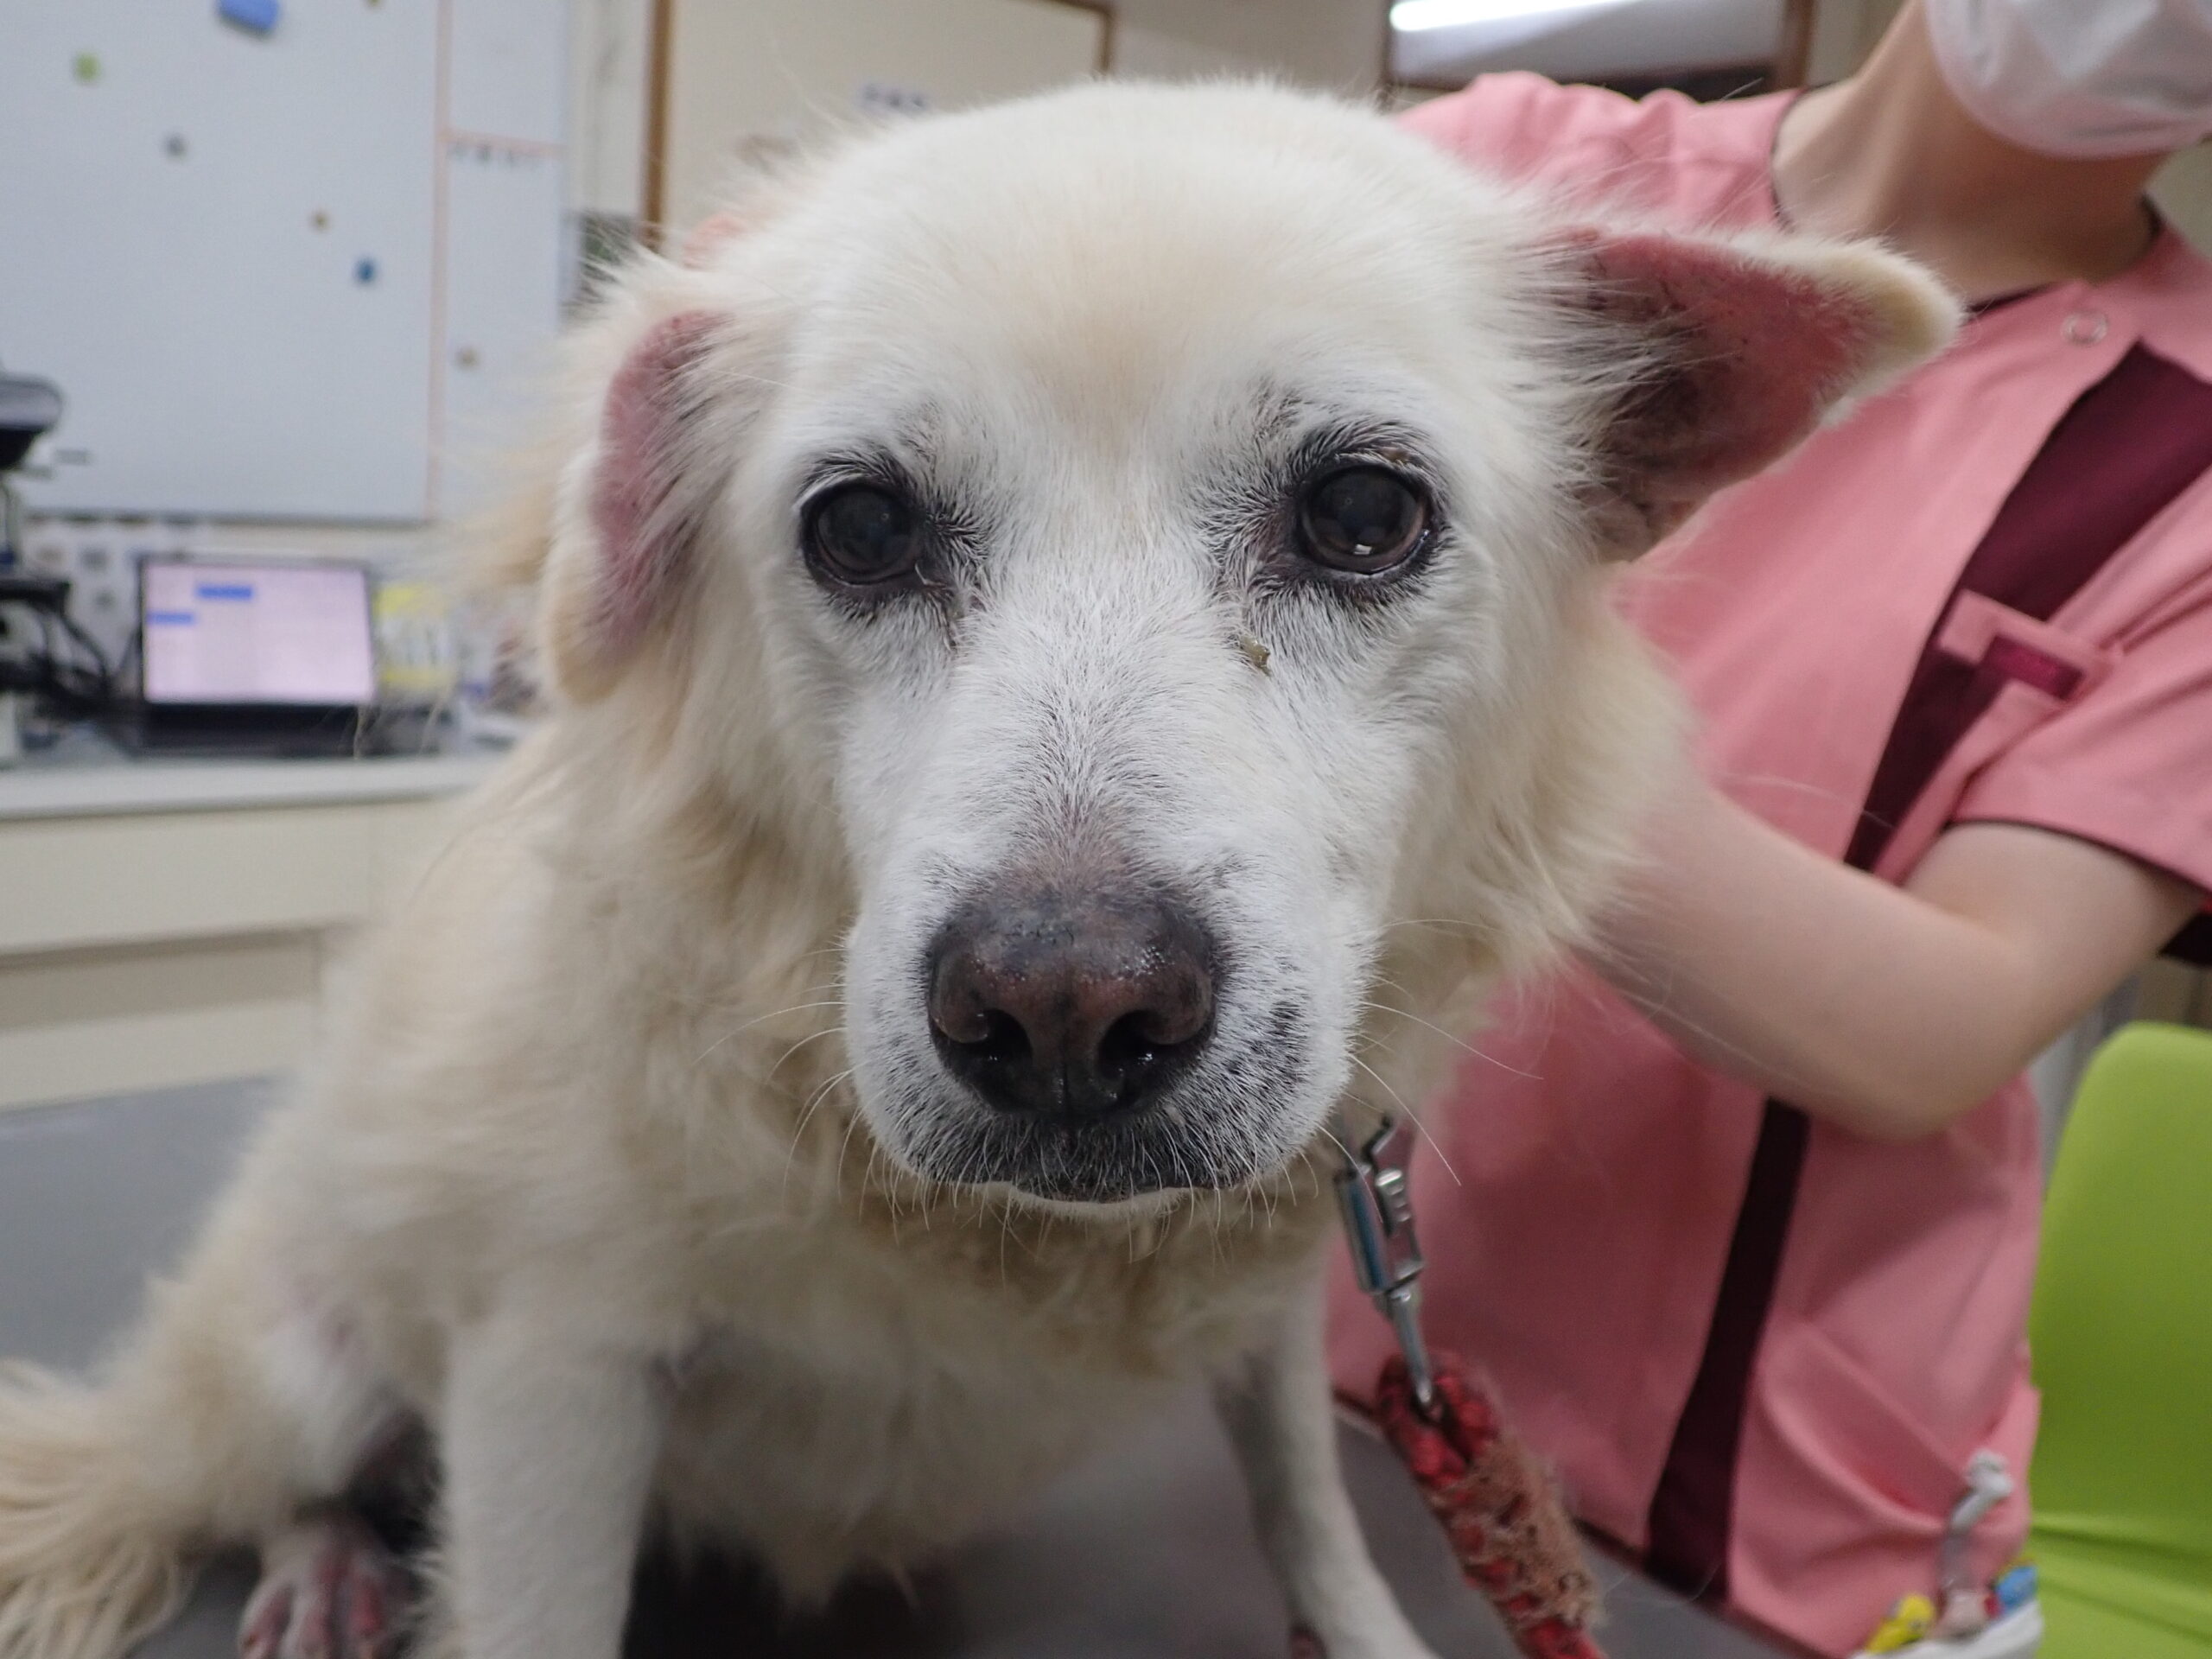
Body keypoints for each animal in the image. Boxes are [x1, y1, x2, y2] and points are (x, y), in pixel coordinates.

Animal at [0, 78, 1955, 1659]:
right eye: (859, 527)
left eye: (1360, 514)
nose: (1064, 1014)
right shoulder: (553, 1371)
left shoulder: (1279, 1298)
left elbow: (1306, 1501)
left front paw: (1361, 1626)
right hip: (313, 1357)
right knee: (264, 1474)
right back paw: (325, 1568)